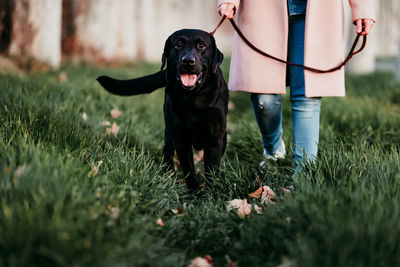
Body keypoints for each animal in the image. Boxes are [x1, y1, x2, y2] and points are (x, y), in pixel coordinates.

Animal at [97, 29, 228, 192]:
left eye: (202, 46)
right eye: (178, 44)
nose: (188, 61)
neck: (193, 98)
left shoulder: (214, 140)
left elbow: (211, 172)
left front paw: (210, 193)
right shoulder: (180, 139)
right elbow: (189, 172)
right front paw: (195, 193)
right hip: (169, 133)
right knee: (167, 151)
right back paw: (167, 175)